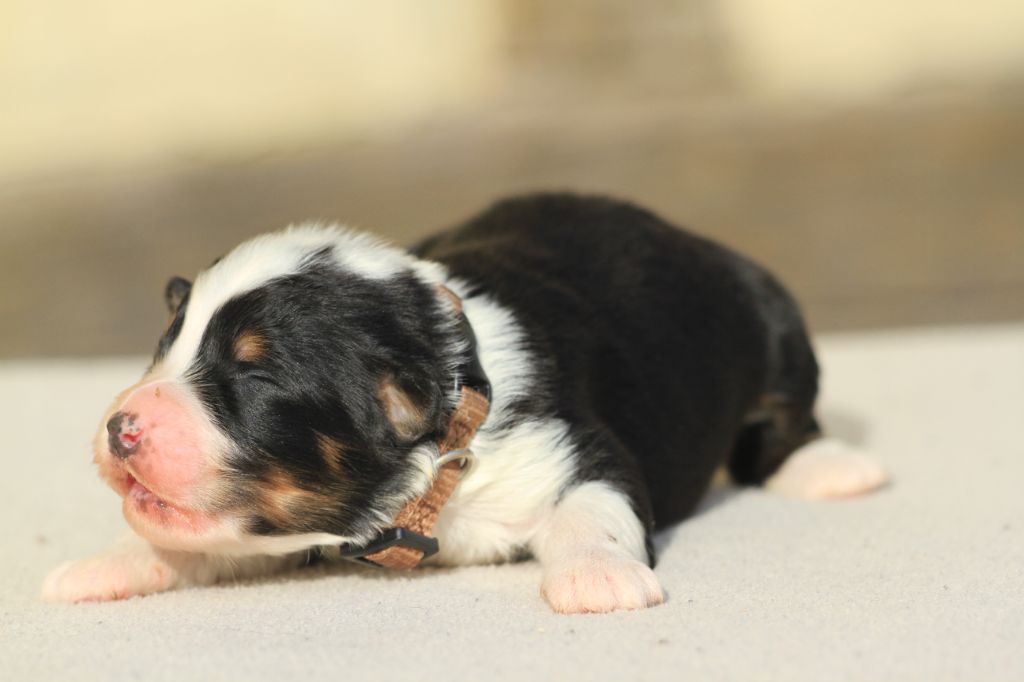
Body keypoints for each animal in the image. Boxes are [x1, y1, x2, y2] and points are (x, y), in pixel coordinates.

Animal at [41, 191, 888, 610]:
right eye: (167, 344)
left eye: (256, 375)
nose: (121, 428)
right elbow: (187, 544)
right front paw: (101, 566)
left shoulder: (575, 444)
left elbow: (596, 508)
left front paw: (599, 581)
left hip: (773, 318)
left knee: (785, 424)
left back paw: (835, 469)